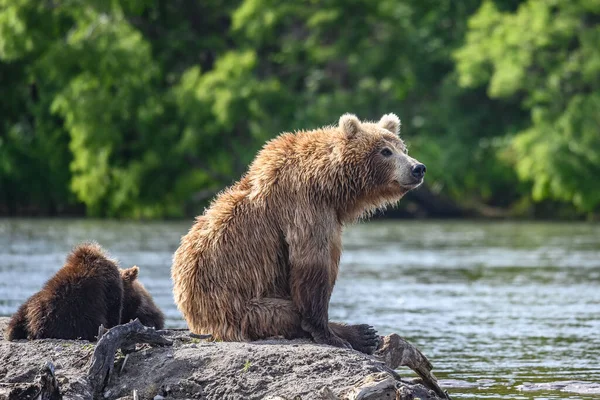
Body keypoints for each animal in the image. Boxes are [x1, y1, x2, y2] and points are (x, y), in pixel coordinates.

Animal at [170, 112, 426, 354]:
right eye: (385, 151)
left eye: (403, 148)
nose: (418, 168)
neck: (329, 186)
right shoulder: (304, 206)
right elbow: (311, 263)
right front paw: (328, 334)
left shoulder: (328, 215)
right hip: (236, 309)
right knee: (283, 313)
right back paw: (358, 333)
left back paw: (363, 333)